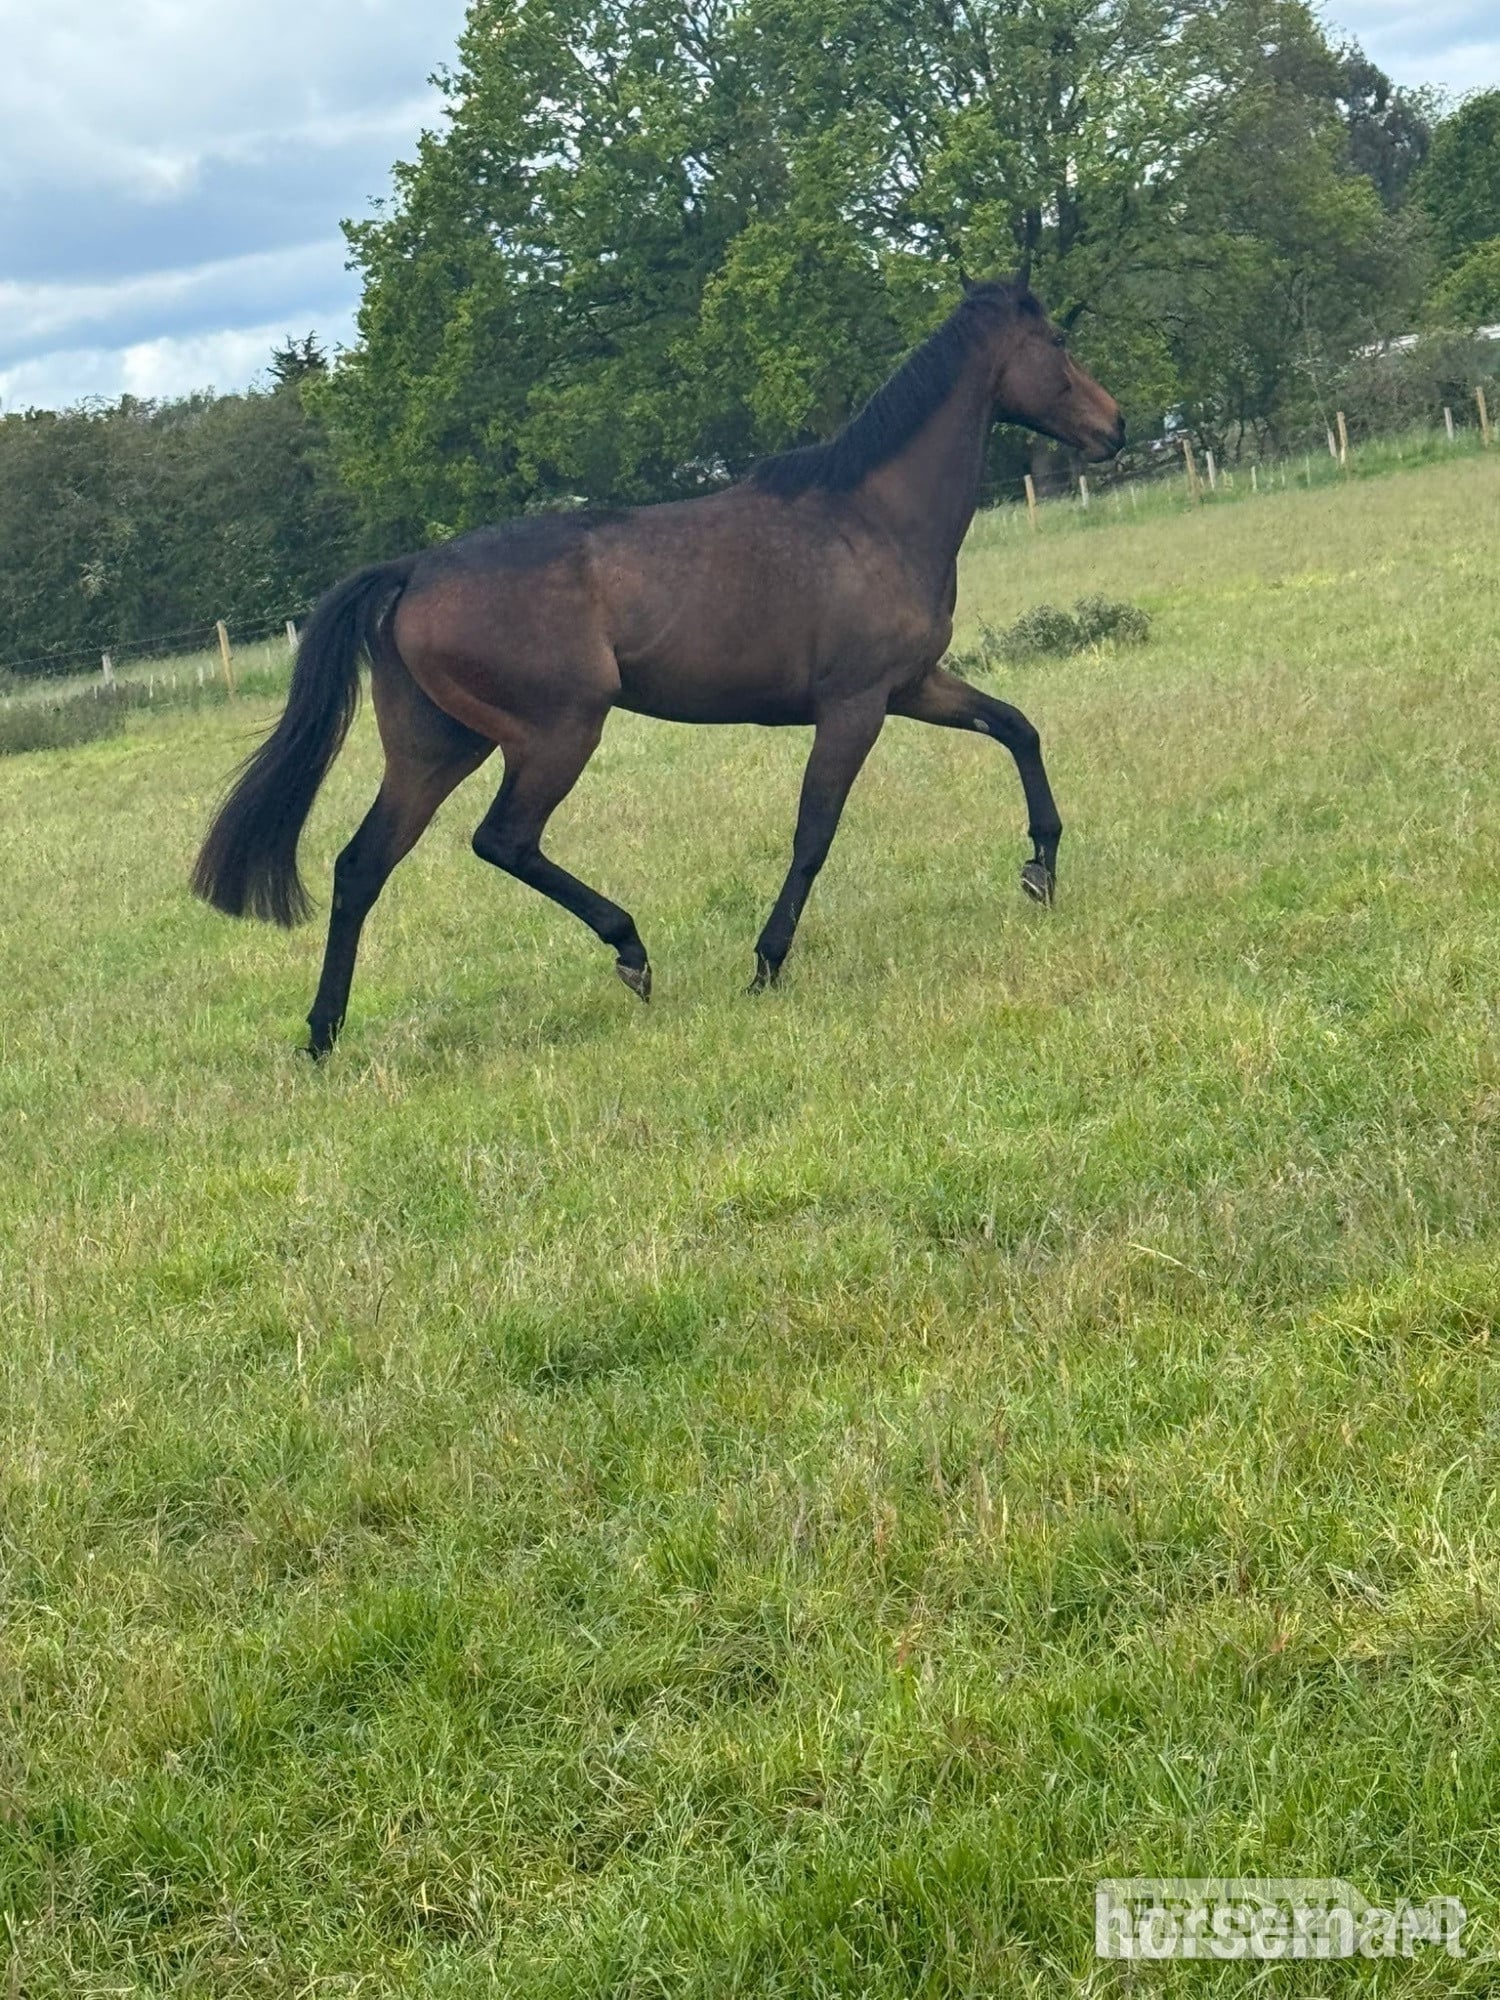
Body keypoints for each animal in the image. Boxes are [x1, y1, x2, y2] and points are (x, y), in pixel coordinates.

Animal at [192, 277, 1123, 1055]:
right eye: (1059, 340)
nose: (1115, 427)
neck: (871, 519)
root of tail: (412, 570)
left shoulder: (914, 687)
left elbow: (1017, 729)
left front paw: (1040, 868)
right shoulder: (854, 706)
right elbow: (813, 834)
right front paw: (767, 964)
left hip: (436, 748)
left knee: (360, 866)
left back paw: (322, 1035)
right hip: (556, 734)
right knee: (503, 840)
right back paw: (630, 949)